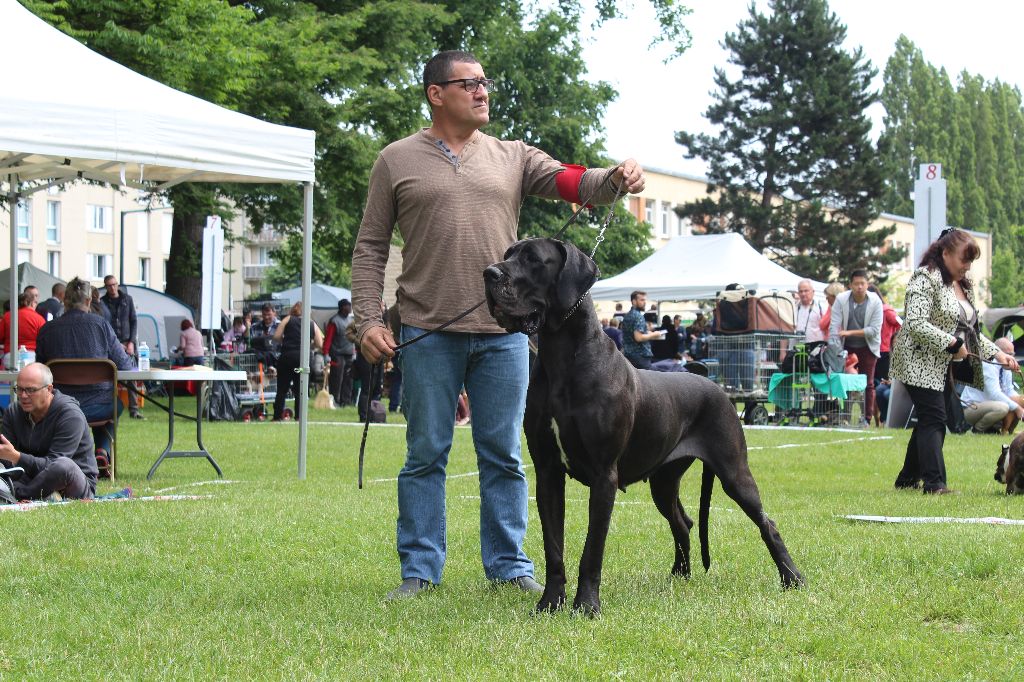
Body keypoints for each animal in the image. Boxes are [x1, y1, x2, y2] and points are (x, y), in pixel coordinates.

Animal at [483, 236, 802, 614]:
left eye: (533, 259)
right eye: (508, 254)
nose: (489, 273)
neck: (562, 359)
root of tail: (717, 388)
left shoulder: (604, 475)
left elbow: (592, 549)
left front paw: (586, 606)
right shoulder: (548, 472)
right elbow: (553, 547)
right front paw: (549, 604)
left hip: (734, 472)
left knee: (768, 522)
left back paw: (792, 578)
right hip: (663, 481)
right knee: (683, 522)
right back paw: (679, 576)